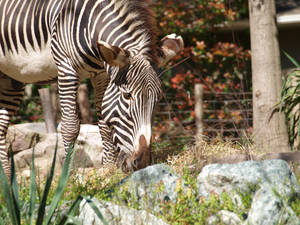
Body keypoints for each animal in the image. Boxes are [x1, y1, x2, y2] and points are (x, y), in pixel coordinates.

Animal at [0, 0, 183, 177]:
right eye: (127, 95)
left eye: (158, 98)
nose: (143, 163)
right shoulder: (66, 67)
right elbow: (70, 127)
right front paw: (68, 177)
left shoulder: (102, 74)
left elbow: (104, 122)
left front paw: (108, 170)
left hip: (11, 80)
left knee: (1, 125)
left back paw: (7, 180)